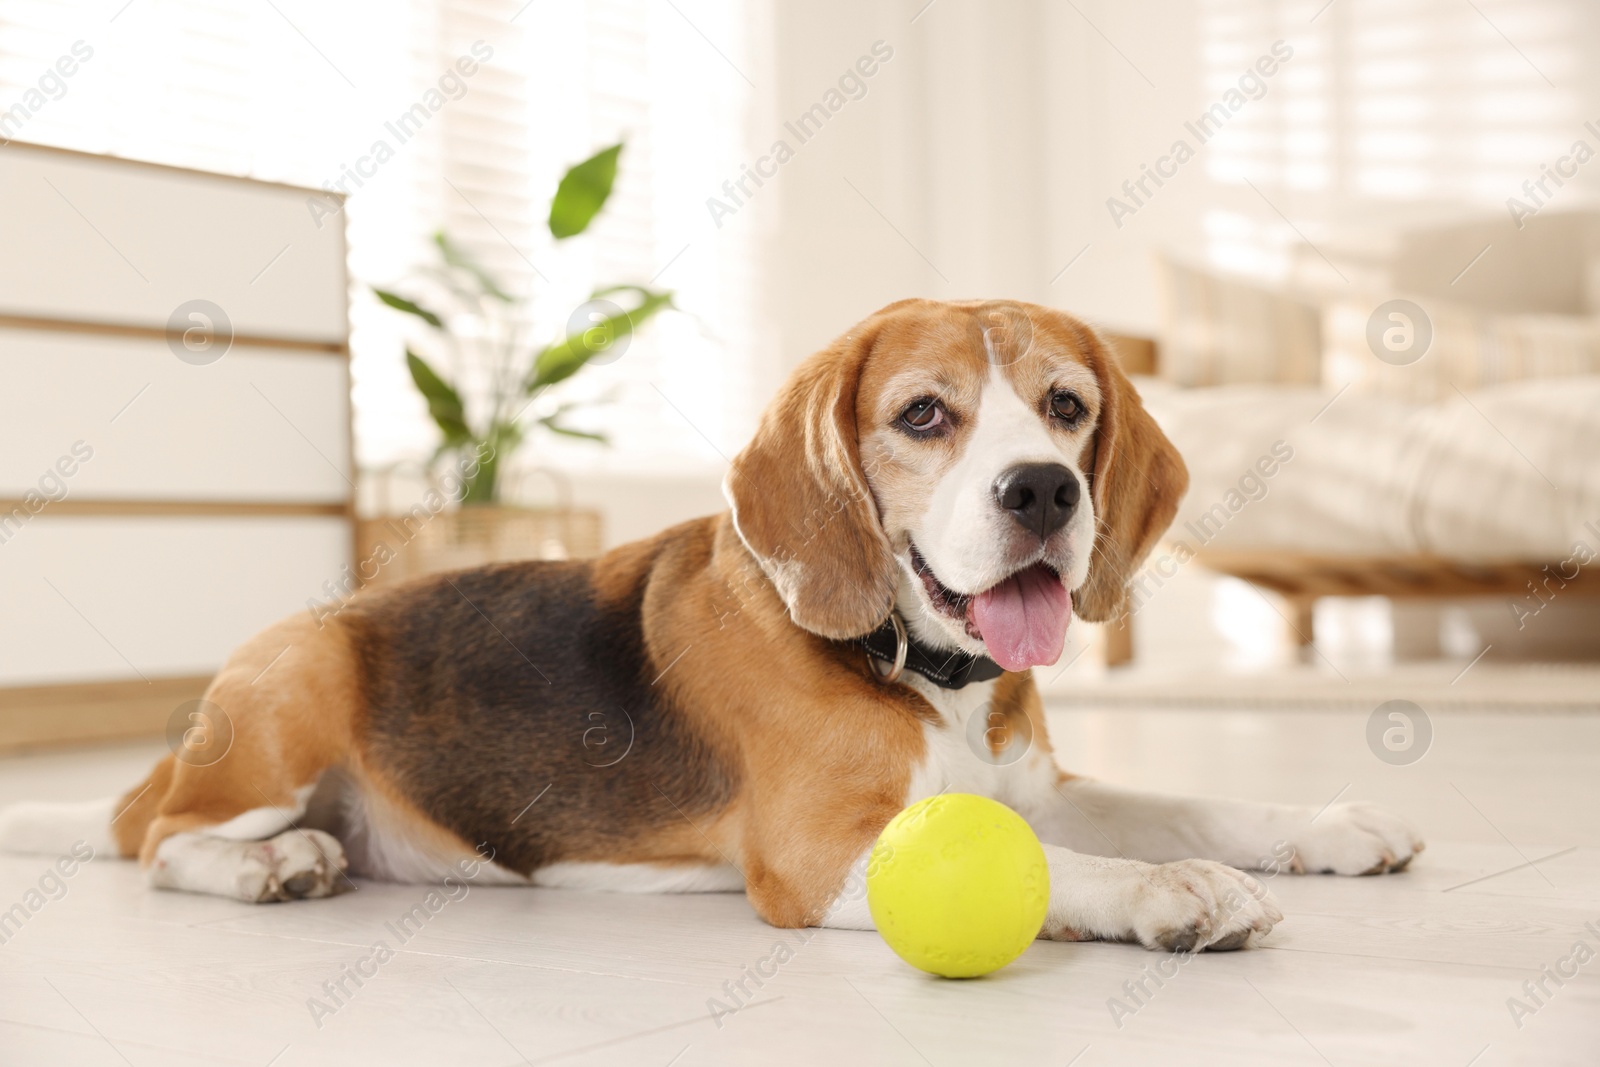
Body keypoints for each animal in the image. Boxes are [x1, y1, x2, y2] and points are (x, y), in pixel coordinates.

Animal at [3, 299, 1427, 953]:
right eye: (923, 415)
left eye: (1068, 406)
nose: (1043, 491)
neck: (930, 671)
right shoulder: (818, 858)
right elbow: (1075, 864)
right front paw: (1170, 891)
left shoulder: (1038, 782)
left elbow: (1186, 800)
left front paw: (1324, 825)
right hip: (289, 685)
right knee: (159, 844)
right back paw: (267, 863)